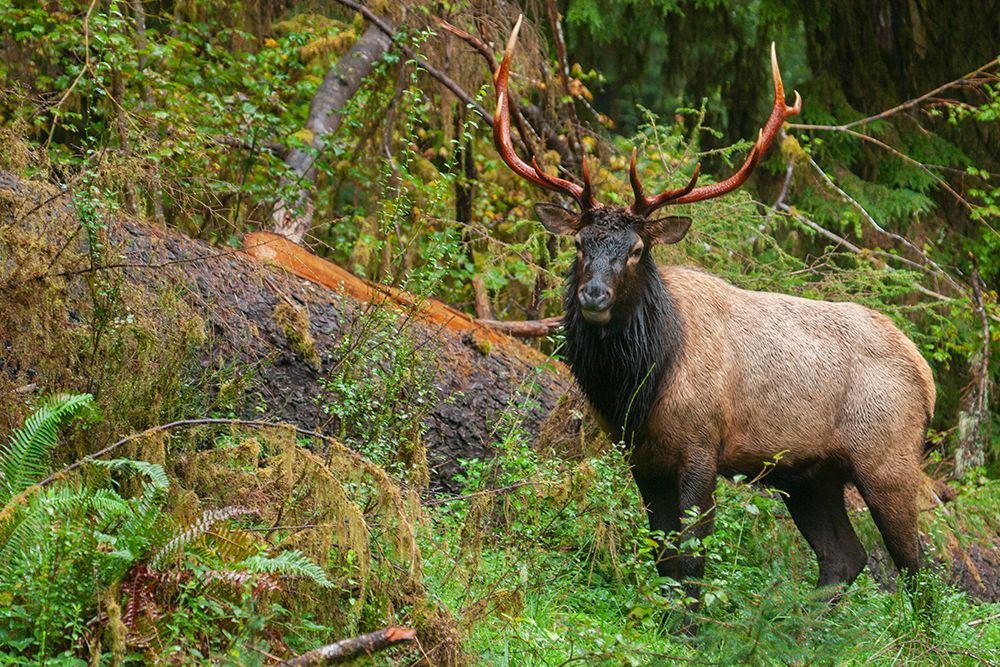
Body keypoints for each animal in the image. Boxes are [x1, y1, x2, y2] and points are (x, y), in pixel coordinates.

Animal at [491, 17, 935, 604]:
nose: (594, 296)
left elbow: (691, 559)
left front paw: (690, 621)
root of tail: (926, 374)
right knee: (844, 557)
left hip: (889, 457)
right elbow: (662, 557)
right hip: (808, 475)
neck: (641, 383)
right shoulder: (642, 457)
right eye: (581, 244)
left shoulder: (702, 446)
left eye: (637, 249)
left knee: (918, 572)